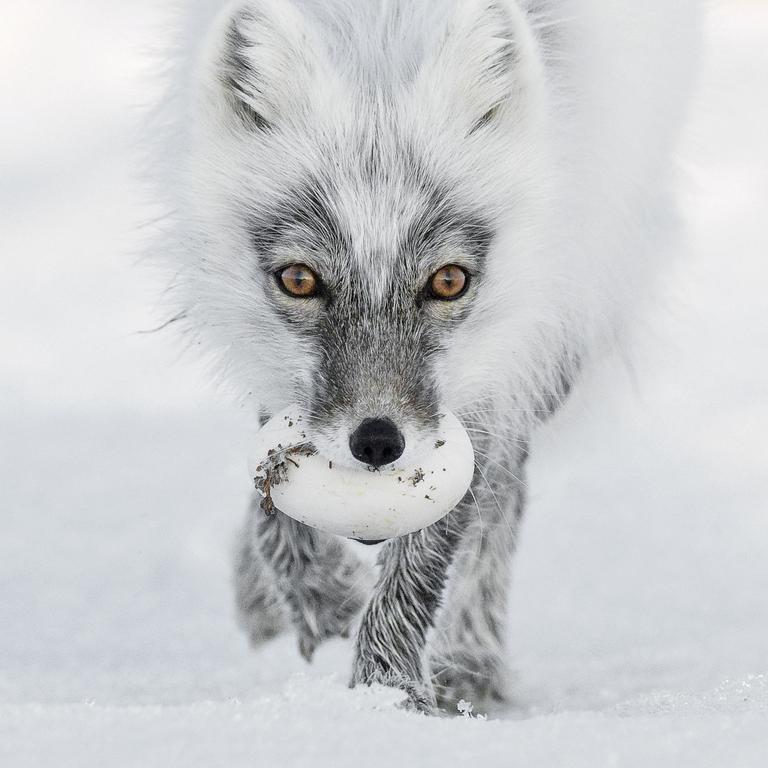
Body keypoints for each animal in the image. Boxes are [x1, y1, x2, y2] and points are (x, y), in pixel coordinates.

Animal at [154, 0, 704, 712]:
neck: (380, 30)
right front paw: (320, 599)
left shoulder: (496, 371)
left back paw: (470, 663)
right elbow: (274, 493)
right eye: (299, 280)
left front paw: (386, 696)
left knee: (503, 498)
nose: (377, 442)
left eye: (448, 281)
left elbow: (437, 546)